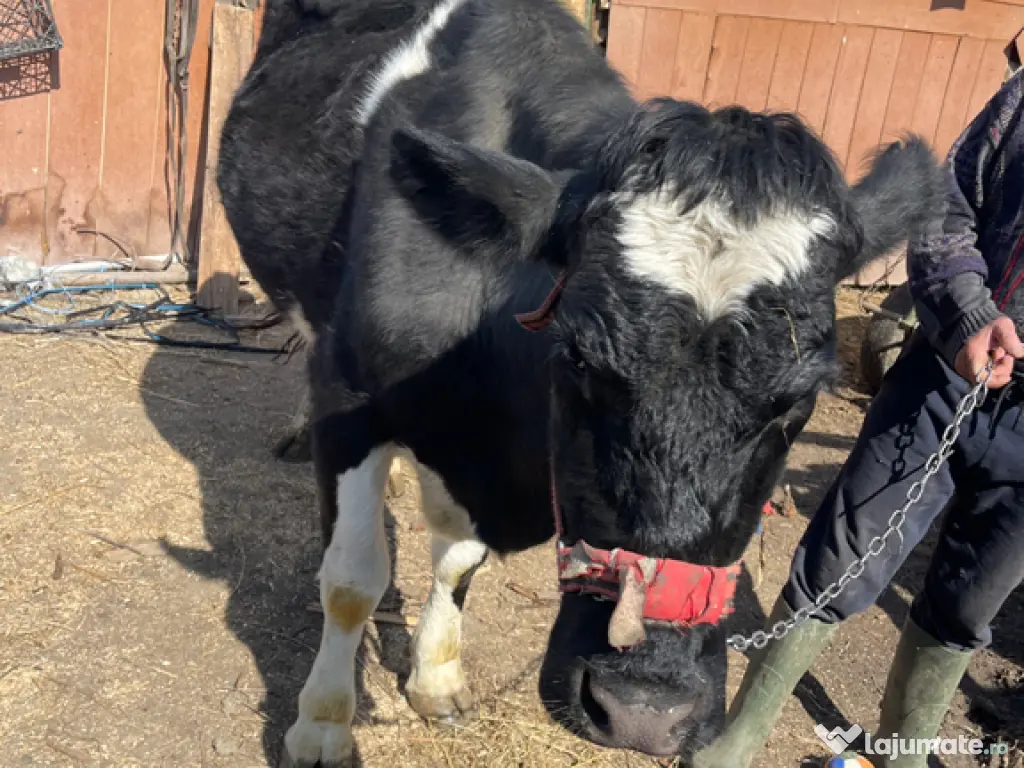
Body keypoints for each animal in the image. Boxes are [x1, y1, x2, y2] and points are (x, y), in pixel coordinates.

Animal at [218, 0, 944, 765]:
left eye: (798, 403)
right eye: (579, 360)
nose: (644, 712)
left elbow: (457, 561)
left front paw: (436, 680)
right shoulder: (351, 401)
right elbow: (353, 579)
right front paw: (322, 726)